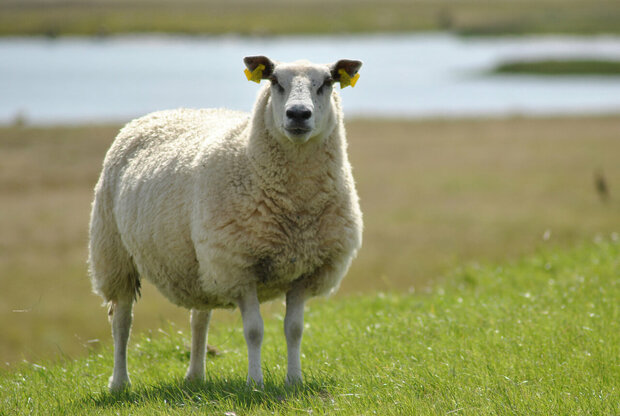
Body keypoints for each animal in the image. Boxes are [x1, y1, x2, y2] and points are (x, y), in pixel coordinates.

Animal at [89, 54, 366, 390]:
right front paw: (255, 383)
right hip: (114, 252)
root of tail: (161, 113)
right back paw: (120, 383)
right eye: (275, 81)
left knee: (199, 318)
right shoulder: (238, 267)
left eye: (326, 83)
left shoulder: (305, 270)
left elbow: (295, 329)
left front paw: (294, 380)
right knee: (122, 320)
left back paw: (195, 376)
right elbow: (254, 331)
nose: (298, 114)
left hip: (197, 262)